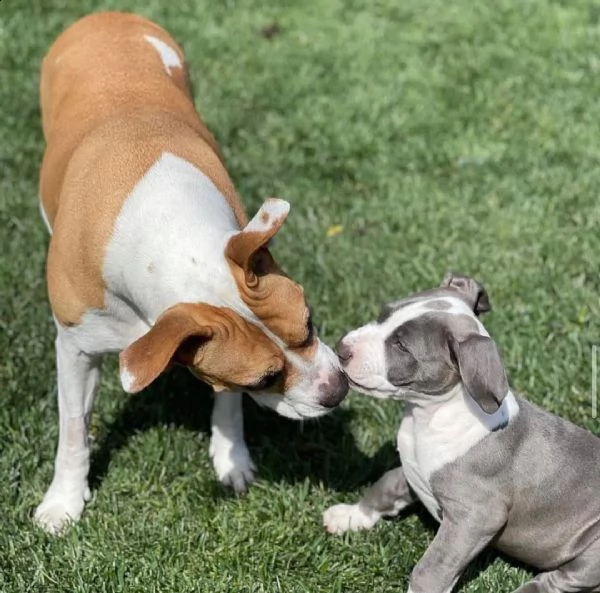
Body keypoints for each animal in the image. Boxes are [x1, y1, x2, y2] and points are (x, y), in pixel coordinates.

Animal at [36, 12, 346, 532]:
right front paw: (63, 500)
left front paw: (231, 456)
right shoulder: (75, 348)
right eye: (264, 378)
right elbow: (74, 429)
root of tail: (109, 16)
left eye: (309, 323)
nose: (338, 389)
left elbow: (225, 400)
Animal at [324, 276, 600, 592]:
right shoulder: (413, 470)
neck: (426, 417)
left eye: (402, 346)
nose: (341, 347)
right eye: (384, 313)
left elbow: (431, 568)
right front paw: (350, 515)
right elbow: (384, 485)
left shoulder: (476, 518)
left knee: (561, 580)